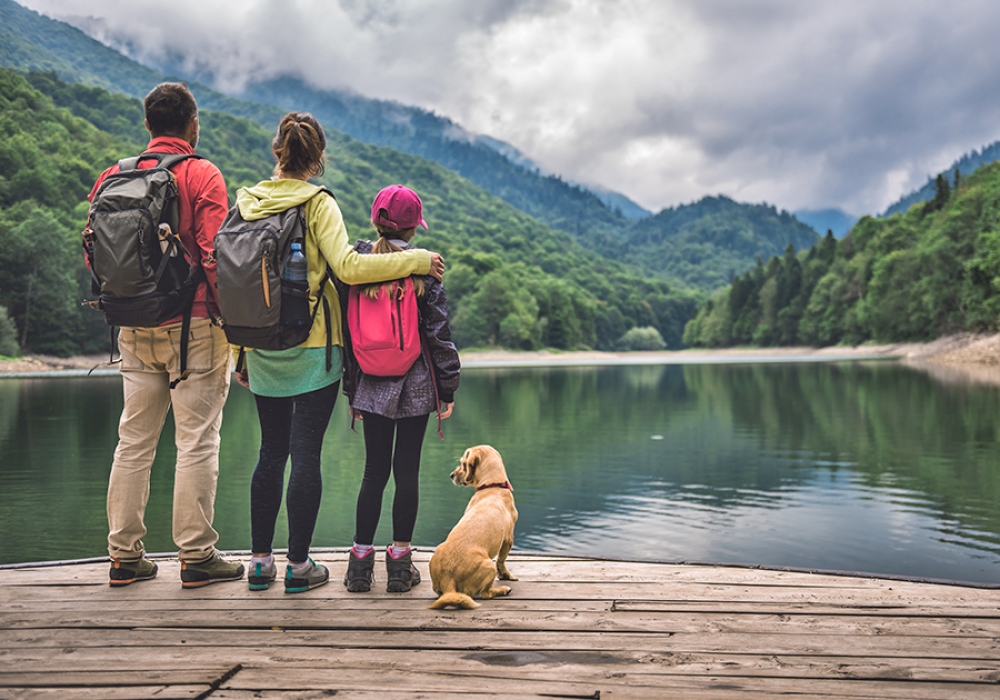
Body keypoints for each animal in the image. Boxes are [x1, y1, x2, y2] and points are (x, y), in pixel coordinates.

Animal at [430, 446, 520, 608]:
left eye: (463, 464)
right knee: (486, 594)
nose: (451, 475)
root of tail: (448, 578)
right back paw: (503, 590)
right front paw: (506, 576)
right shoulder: (508, 539)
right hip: (489, 566)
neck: (492, 486)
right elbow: (501, 561)